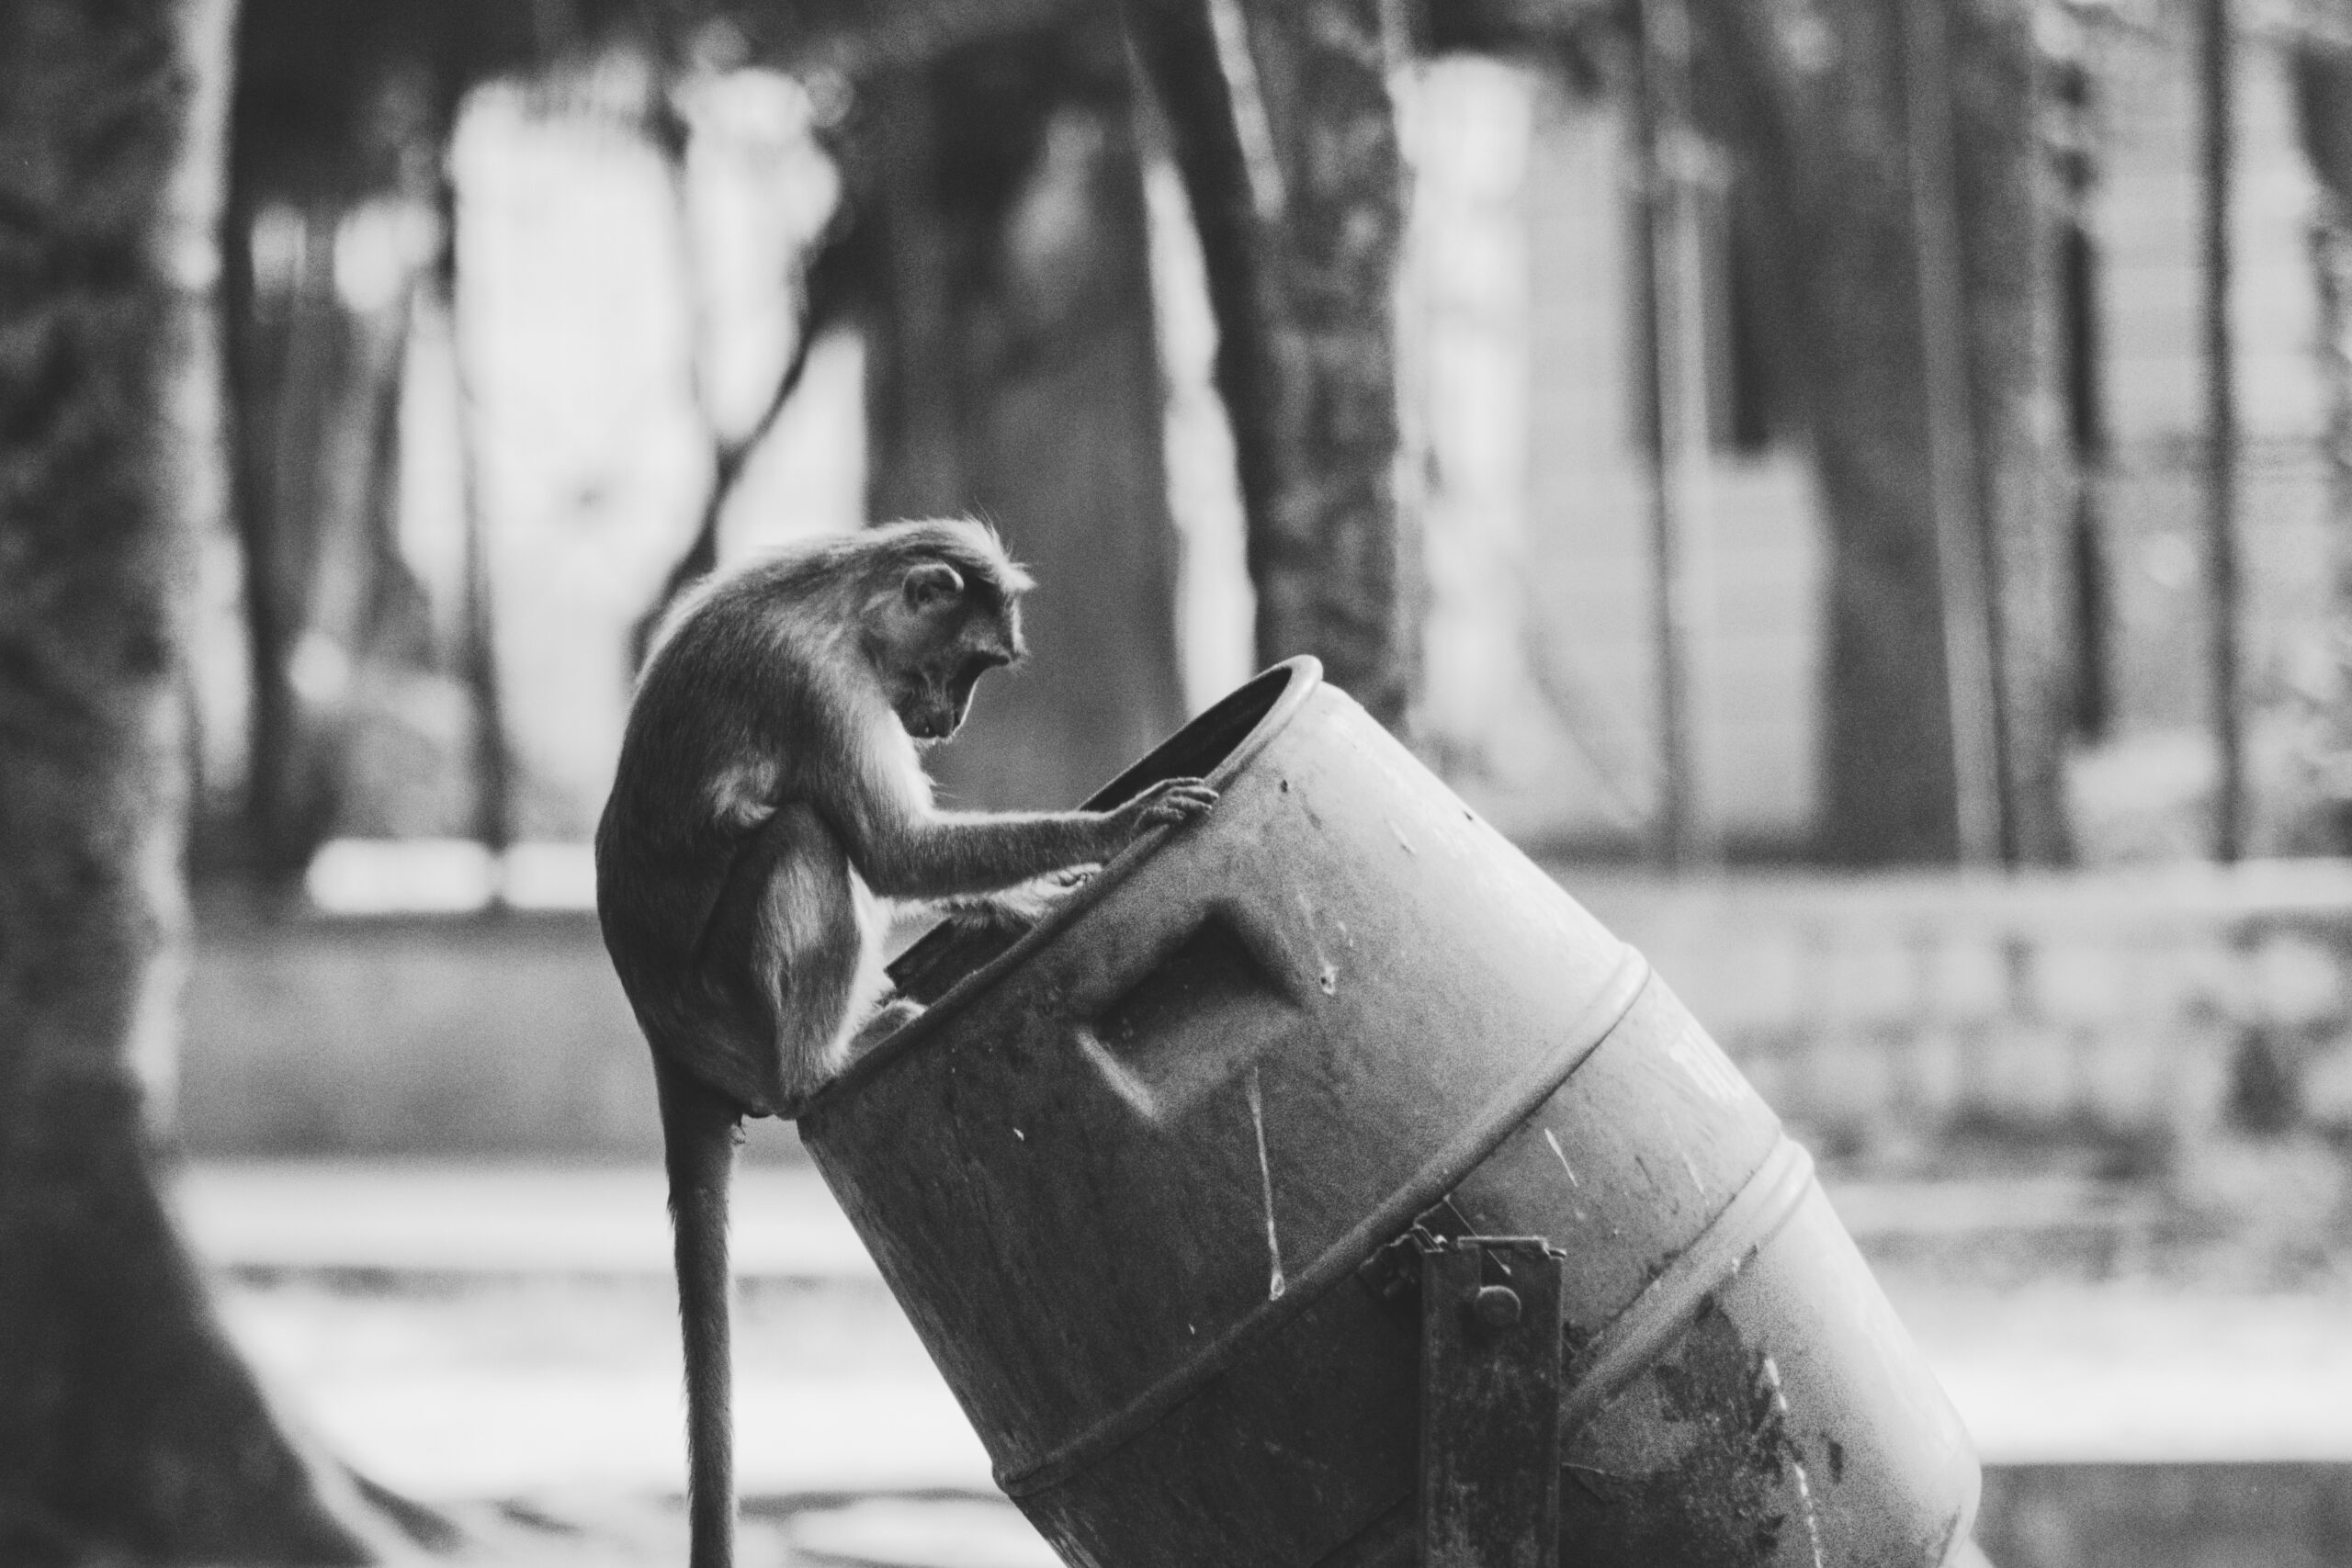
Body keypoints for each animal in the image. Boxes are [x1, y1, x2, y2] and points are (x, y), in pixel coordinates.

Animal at [593, 517, 1213, 1568]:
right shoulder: (820, 688)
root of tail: (663, 1037)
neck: (838, 597)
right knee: (807, 833)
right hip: (735, 1011)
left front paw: (1018, 903)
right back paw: (825, 1063)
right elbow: (889, 850)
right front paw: (1121, 824)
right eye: (966, 664)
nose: (949, 718)